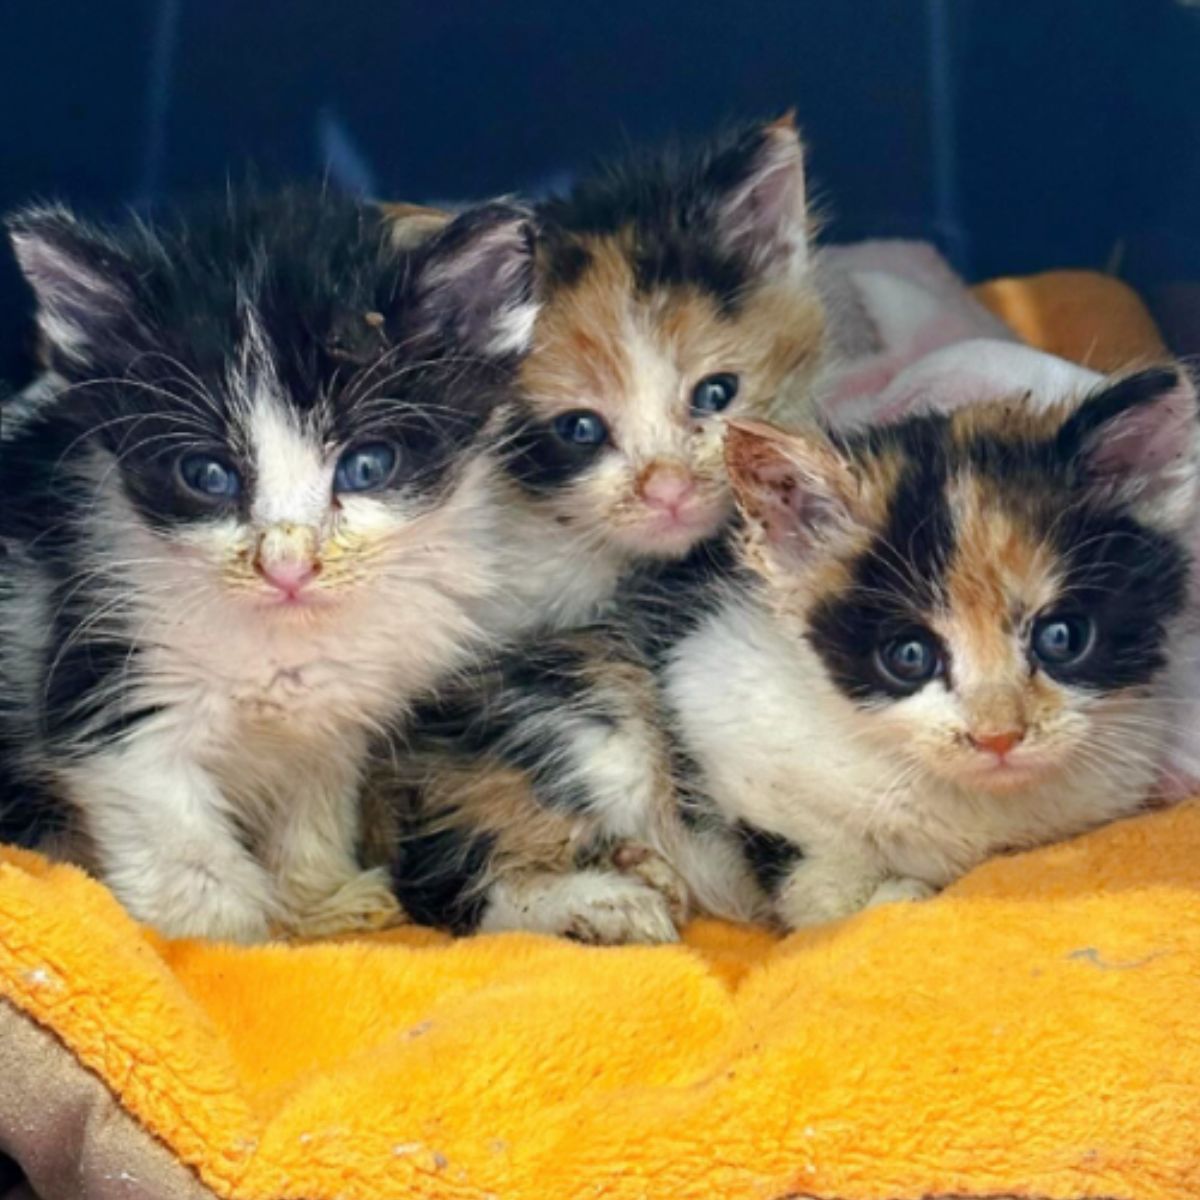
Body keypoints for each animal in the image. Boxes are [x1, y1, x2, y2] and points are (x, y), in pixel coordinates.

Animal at [0, 187, 537, 940]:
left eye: (367, 466)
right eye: (207, 475)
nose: (288, 565)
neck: (284, 639)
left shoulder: (341, 713)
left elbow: (314, 798)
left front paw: (320, 902)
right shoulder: (105, 676)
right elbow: (182, 845)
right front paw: (226, 938)